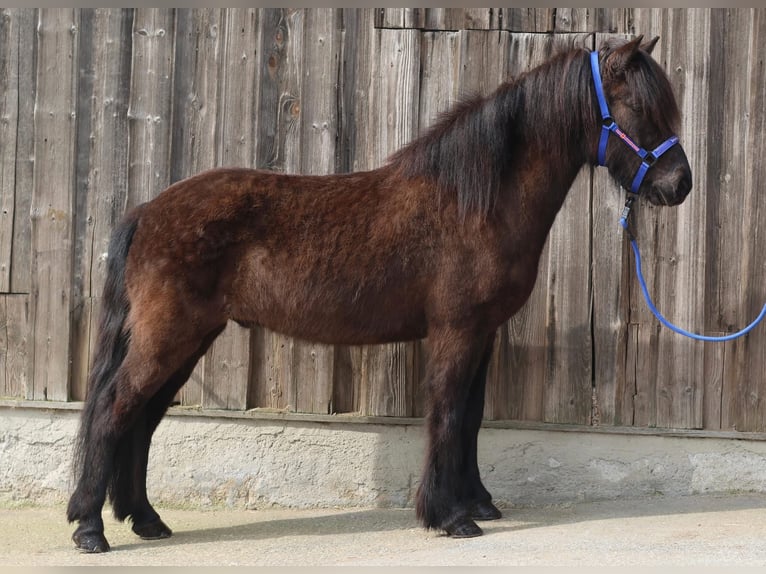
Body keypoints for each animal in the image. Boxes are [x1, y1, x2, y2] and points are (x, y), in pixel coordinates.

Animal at [66, 35, 692, 552]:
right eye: (639, 108)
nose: (679, 184)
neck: (474, 201)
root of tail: (148, 211)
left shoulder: (483, 334)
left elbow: (471, 416)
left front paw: (478, 503)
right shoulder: (457, 331)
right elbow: (447, 413)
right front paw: (449, 517)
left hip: (188, 339)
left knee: (142, 418)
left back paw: (146, 520)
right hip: (169, 337)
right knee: (114, 410)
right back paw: (91, 528)